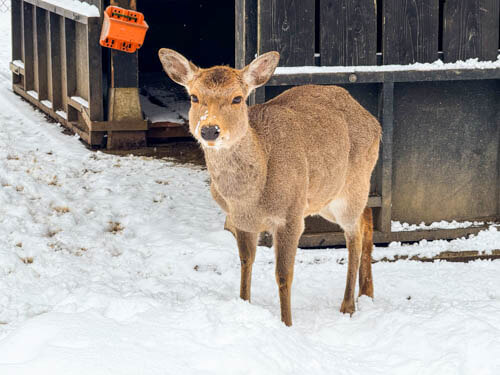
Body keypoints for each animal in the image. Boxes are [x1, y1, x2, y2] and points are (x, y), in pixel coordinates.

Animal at [158, 49, 380, 326]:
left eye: (238, 98)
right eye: (194, 96)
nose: (210, 129)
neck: (250, 196)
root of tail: (374, 121)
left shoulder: (291, 215)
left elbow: (283, 274)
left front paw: (287, 323)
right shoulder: (241, 220)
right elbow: (246, 261)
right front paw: (244, 304)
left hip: (352, 185)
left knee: (354, 236)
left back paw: (348, 306)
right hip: (328, 195)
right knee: (367, 216)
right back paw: (367, 293)